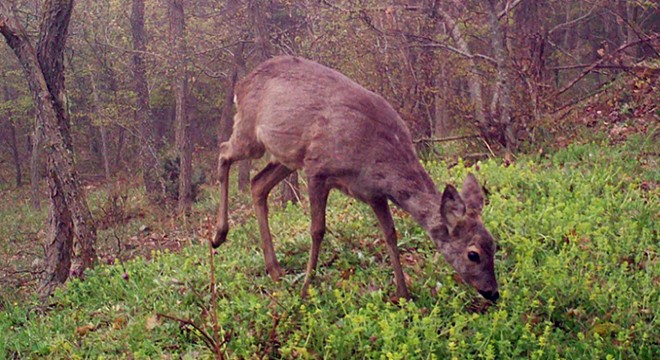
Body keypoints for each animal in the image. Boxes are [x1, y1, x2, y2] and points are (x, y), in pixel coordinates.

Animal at [214, 56, 498, 302]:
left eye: (494, 245)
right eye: (473, 254)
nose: (493, 293)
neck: (375, 154)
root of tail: (242, 84)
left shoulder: (373, 193)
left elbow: (390, 233)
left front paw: (403, 294)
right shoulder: (317, 169)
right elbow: (317, 230)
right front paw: (306, 289)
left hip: (287, 157)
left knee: (257, 184)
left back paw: (274, 269)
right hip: (251, 134)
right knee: (224, 151)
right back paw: (219, 235)